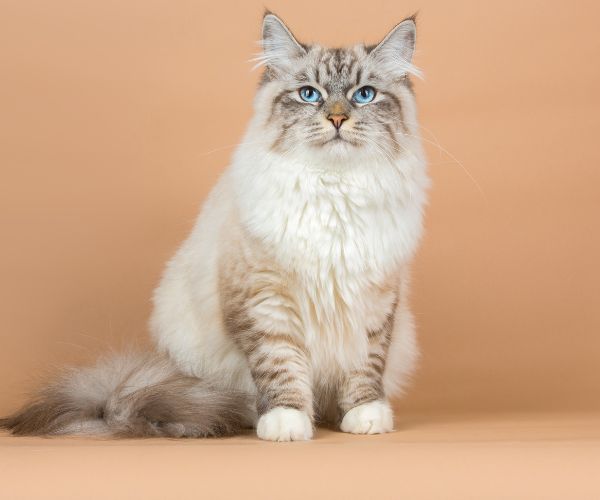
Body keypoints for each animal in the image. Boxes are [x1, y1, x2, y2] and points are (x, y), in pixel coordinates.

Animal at [2, 10, 428, 442]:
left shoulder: (374, 303)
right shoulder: (266, 301)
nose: (338, 118)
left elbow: (364, 367)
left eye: (364, 95)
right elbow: (281, 366)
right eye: (309, 94)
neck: (334, 188)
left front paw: (365, 415)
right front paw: (287, 421)